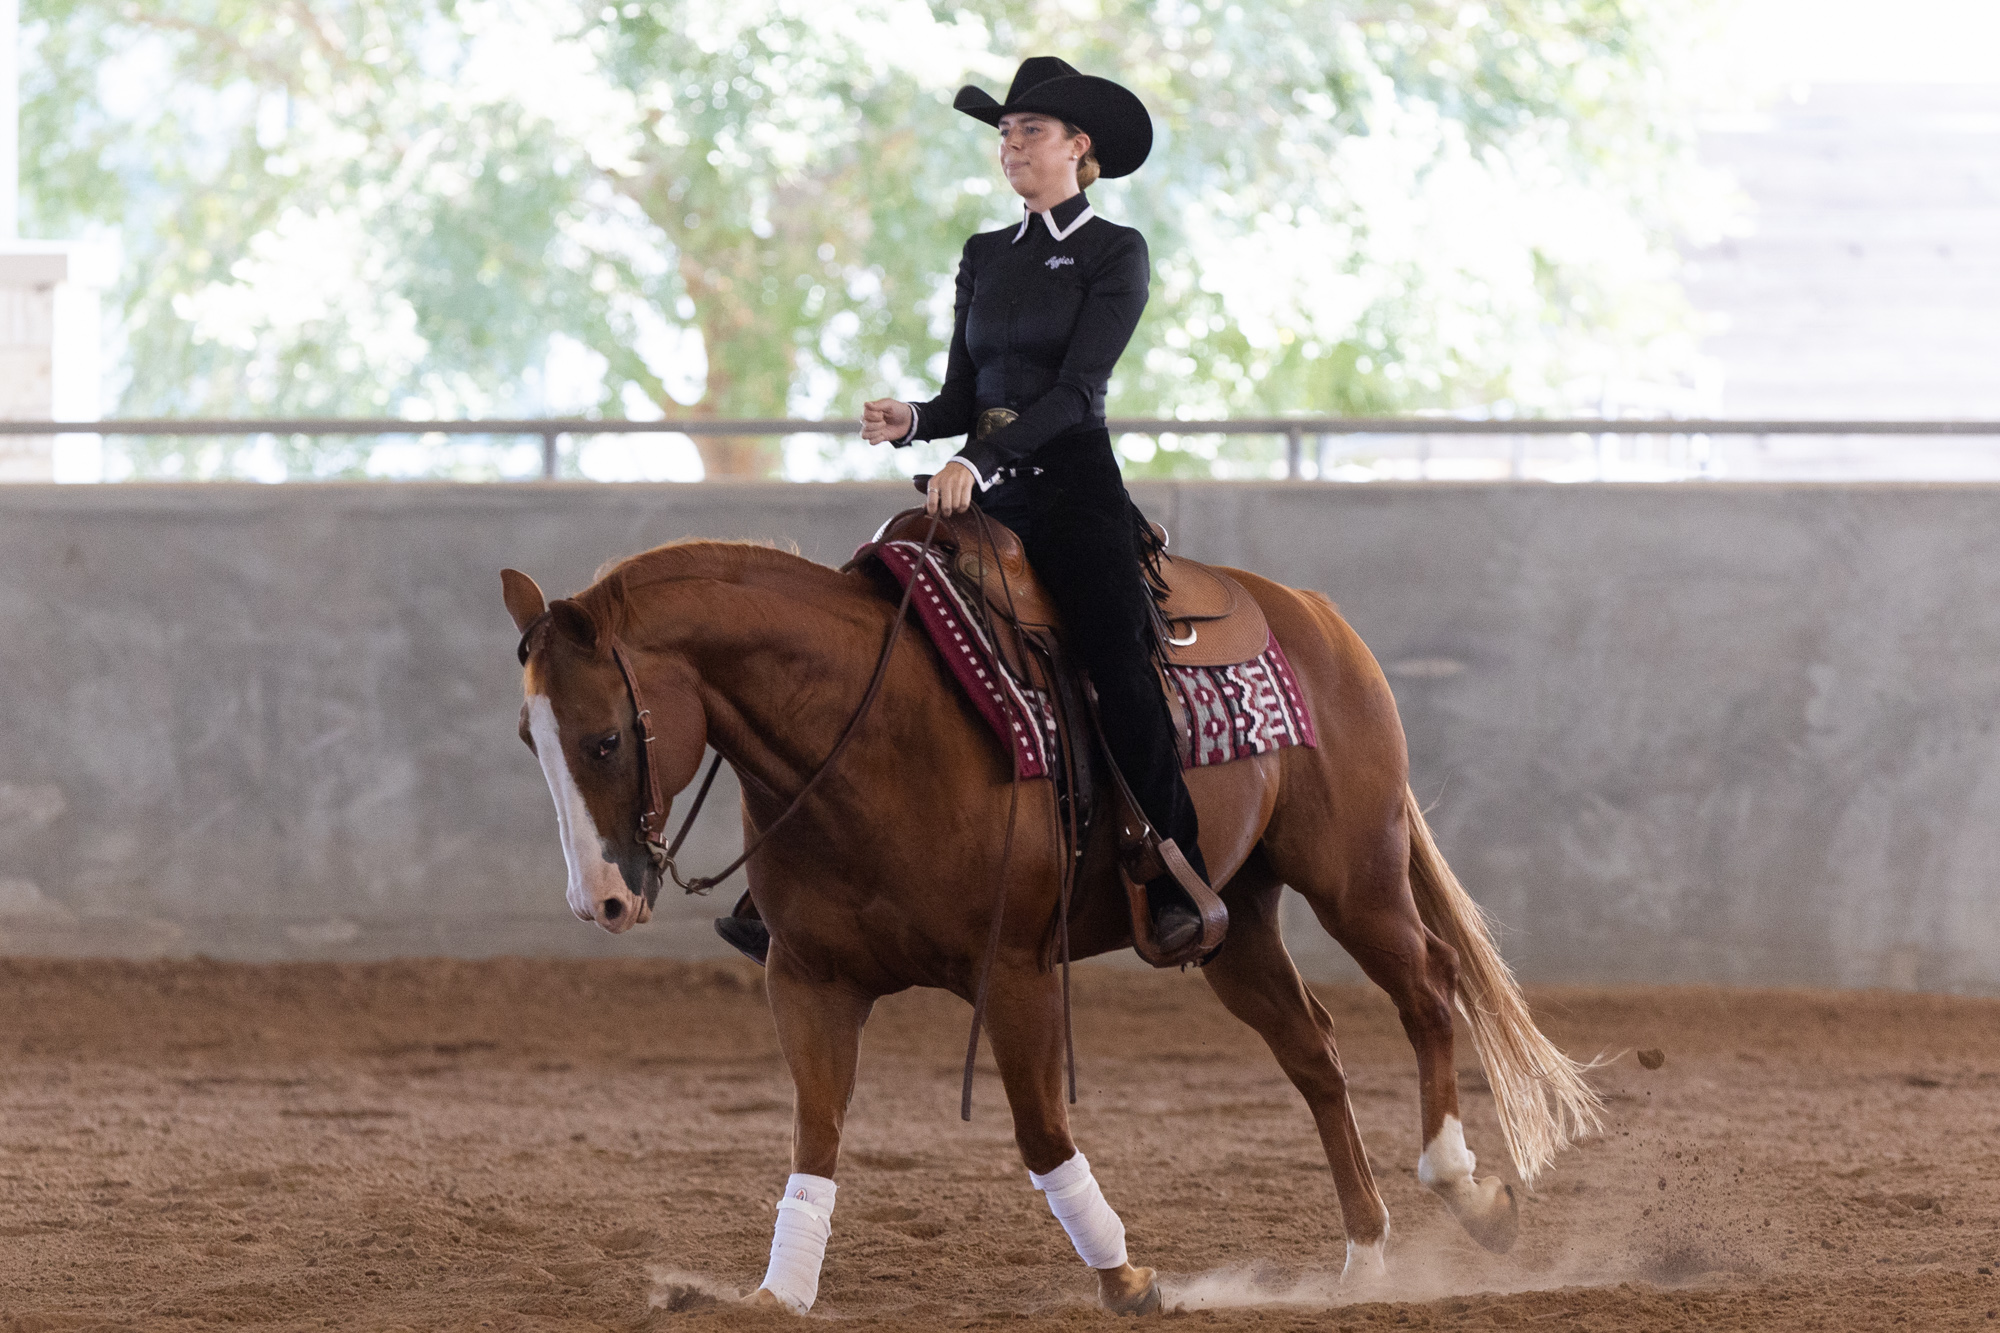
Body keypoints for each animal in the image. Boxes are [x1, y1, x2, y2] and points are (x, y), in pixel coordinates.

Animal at [500, 536, 1592, 1304]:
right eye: (528, 735)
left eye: (605, 738)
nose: (600, 900)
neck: (873, 730)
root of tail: (1315, 616)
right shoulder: (809, 977)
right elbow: (815, 1134)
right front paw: (779, 1291)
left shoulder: (1017, 969)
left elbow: (1038, 1129)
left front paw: (1126, 1277)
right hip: (1233, 924)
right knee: (1315, 1053)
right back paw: (1364, 1257)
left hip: (1354, 876)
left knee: (1427, 991)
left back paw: (1468, 1190)